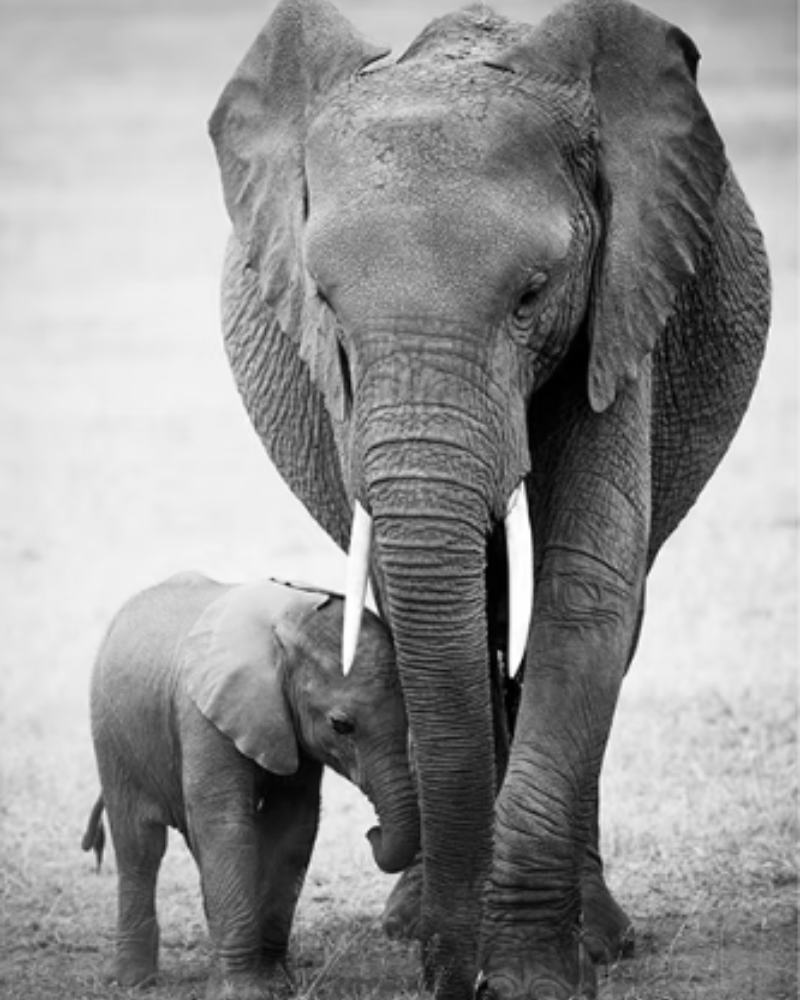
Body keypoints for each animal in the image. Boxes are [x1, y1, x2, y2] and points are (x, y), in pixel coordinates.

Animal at [83, 571, 419, 999]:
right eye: (341, 725)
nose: (372, 832)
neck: (286, 622)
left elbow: (293, 826)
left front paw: (274, 981)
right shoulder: (204, 713)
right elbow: (226, 826)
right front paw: (242, 992)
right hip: (112, 739)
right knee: (140, 847)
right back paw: (133, 981)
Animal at [208, 1, 770, 997]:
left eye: (532, 295)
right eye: (324, 302)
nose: (448, 976)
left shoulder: (623, 303)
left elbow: (586, 589)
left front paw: (532, 979)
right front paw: (456, 948)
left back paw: (597, 937)